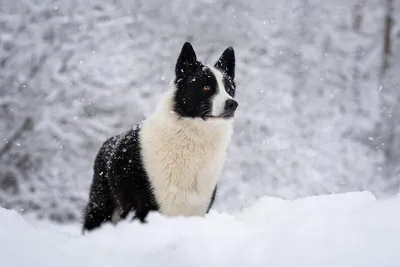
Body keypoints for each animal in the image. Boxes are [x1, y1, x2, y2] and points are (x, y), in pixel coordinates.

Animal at [81, 42, 238, 232]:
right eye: (206, 87)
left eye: (229, 89)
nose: (232, 104)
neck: (192, 140)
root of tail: (107, 143)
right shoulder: (148, 208)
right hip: (101, 206)